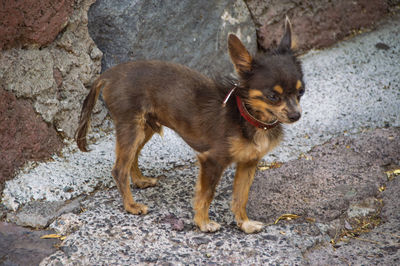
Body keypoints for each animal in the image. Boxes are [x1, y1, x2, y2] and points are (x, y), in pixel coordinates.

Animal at [76, 18, 304, 234]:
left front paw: (244, 223)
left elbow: (241, 196)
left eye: (301, 92)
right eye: (273, 96)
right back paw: (131, 205)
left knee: (131, 158)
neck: (246, 116)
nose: (296, 115)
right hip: (132, 127)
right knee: (119, 169)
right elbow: (206, 195)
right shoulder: (212, 161)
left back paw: (140, 181)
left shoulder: (248, 162)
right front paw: (203, 223)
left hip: (144, 128)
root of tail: (108, 74)